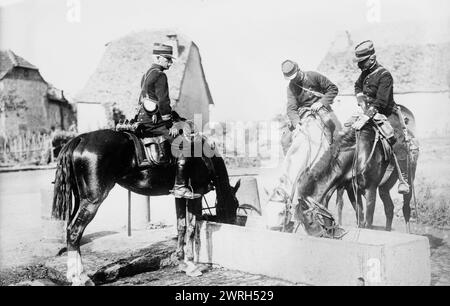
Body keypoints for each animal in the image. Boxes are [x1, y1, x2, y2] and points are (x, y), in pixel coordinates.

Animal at [51, 128, 241, 284]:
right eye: (234, 205)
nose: (232, 222)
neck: (203, 156)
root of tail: (81, 139)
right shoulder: (197, 195)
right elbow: (192, 228)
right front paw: (191, 265)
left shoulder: (179, 196)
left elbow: (181, 226)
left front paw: (181, 261)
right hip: (92, 200)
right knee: (75, 231)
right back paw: (80, 277)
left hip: (80, 199)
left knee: (70, 230)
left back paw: (73, 274)